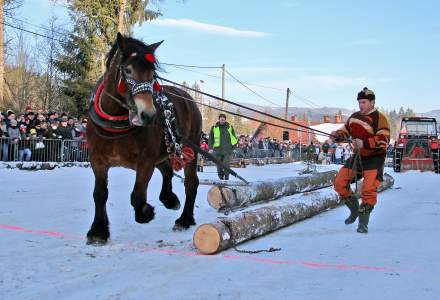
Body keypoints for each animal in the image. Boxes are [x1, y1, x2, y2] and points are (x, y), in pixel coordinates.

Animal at [86, 32, 203, 244]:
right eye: (128, 70)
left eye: (152, 74)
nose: (148, 115)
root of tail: (188, 98)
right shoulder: (97, 160)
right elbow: (100, 194)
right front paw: (98, 230)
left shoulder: (146, 161)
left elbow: (137, 196)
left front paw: (146, 212)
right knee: (167, 171)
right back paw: (169, 199)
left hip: (191, 147)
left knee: (191, 182)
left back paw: (184, 219)